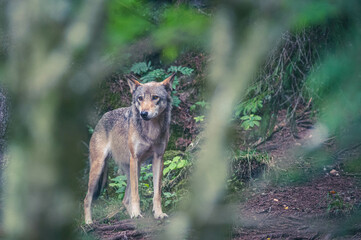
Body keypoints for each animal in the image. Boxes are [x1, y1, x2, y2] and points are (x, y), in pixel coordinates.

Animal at [84, 72, 174, 223]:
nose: (143, 113)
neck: (151, 131)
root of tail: (102, 117)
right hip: (100, 168)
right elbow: (136, 194)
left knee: (125, 200)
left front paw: (158, 213)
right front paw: (137, 214)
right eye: (140, 98)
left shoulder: (158, 158)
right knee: (87, 199)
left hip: (134, 169)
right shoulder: (135, 158)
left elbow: (157, 193)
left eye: (155, 97)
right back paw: (89, 223)